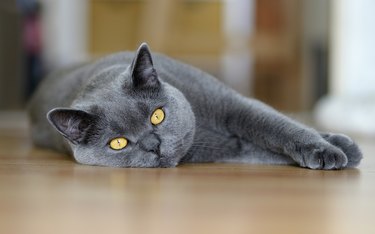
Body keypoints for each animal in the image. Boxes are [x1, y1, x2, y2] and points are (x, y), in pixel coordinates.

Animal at [27, 43, 364, 169]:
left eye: (157, 115)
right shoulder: (228, 149)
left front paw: (335, 147)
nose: (153, 144)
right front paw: (334, 153)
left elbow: (278, 126)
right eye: (118, 143)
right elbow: (264, 147)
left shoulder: (235, 106)